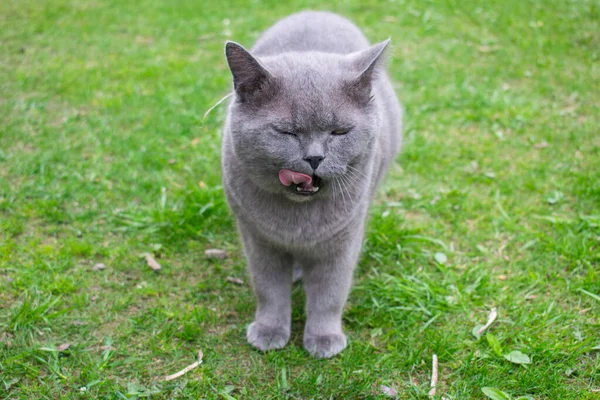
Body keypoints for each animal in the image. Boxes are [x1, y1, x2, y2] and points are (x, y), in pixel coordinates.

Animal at [221, 10, 404, 358]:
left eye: (340, 132)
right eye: (287, 132)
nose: (315, 157)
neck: (298, 223)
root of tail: (317, 12)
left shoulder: (343, 243)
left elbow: (329, 295)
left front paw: (324, 340)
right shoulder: (257, 240)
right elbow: (269, 290)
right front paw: (268, 332)